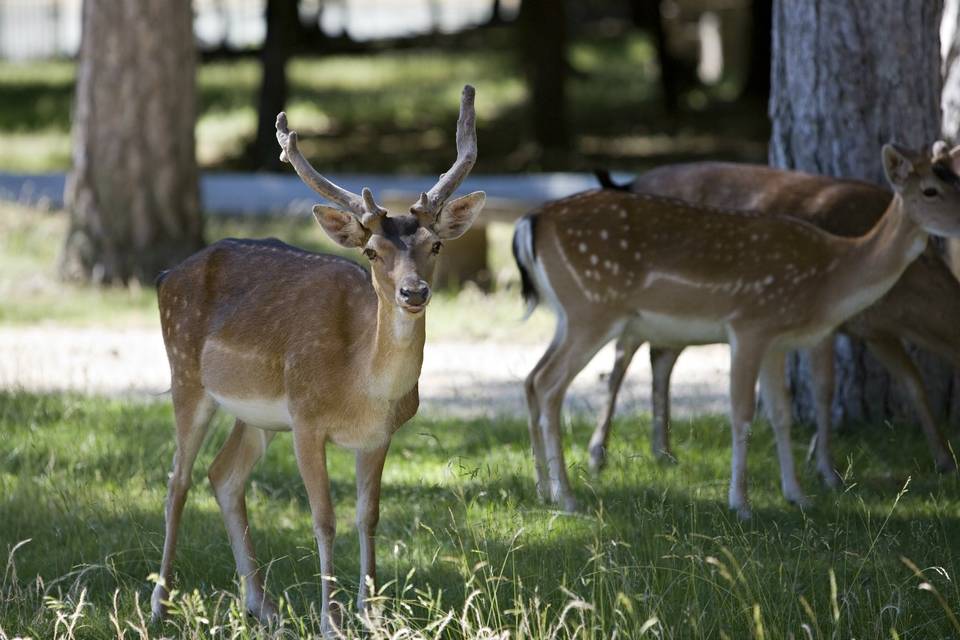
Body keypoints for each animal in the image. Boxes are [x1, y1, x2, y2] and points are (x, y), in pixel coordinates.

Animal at [151, 84, 488, 632]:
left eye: (436, 244)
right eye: (371, 251)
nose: (414, 292)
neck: (360, 386)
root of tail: (164, 276)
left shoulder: (378, 436)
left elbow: (368, 517)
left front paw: (373, 614)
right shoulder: (307, 420)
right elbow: (324, 518)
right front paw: (331, 619)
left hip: (259, 415)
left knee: (222, 475)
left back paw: (262, 605)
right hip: (186, 375)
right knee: (177, 480)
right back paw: (160, 604)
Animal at [512, 142, 960, 516]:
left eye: (956, 180)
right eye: (930, 190)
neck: (830, 276)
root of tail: (531, 220)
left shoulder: (780, 341)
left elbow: (780, 413)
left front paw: (798, 496)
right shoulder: (750, 323)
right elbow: (742, 412)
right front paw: (741, 504)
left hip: (568, 314)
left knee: (532, 378)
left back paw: (544, 491)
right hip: (592, 308)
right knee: (551, 384)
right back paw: (569, 498)